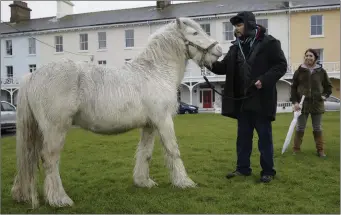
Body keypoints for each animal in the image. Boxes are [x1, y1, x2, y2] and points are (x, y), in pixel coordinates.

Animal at [10, 16, 222, 208]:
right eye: (195, 33)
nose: (218, 50)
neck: (155, 73)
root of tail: (33, 75)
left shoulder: (150, 125)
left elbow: (145, 153)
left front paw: (143, 182)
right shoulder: (163, 121)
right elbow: (173, 150)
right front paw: (184, 182)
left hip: (40, 130)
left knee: (29, 158)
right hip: (56, 129)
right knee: (50, 159)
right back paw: (59, 199)